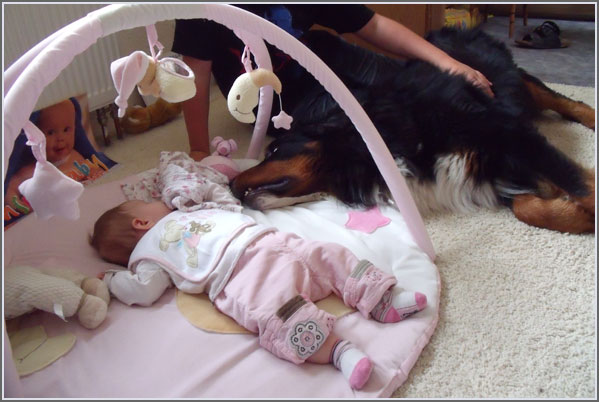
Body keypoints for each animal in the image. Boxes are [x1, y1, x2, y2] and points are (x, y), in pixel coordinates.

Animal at [230, 28, 595, 234]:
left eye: (275, 150)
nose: (231, 185)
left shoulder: (509, 135)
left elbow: (579, 184)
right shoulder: (493, 172)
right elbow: (528, 206)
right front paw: (574, 213)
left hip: (511, 80)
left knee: (562, 100)